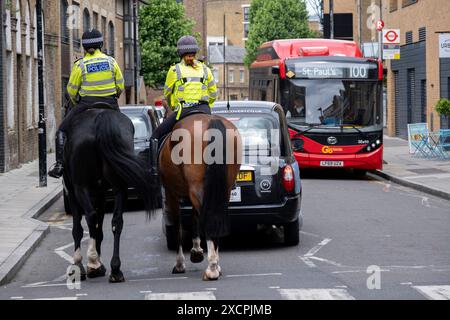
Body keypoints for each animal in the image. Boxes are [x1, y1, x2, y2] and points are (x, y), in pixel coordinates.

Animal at [63, 103, 158, 282]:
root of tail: (101, 118)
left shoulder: (72, 192)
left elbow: (78, 228)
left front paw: (80, 265)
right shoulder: (100, 194)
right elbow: (99, 230)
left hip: (80, 187)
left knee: (90, 216)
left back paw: (93, 262)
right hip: (119, 187)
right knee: (117, 221)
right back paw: (115, 269)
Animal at [158, 112, 243, 280]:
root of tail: (212, 121)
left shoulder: (172, 193)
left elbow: (178, 226)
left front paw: (180, 264)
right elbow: (195, 217)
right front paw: (196, 251)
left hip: (196, 188)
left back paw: (212, 268)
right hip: (224, 189)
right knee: (215, 215)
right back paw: (216, 264)